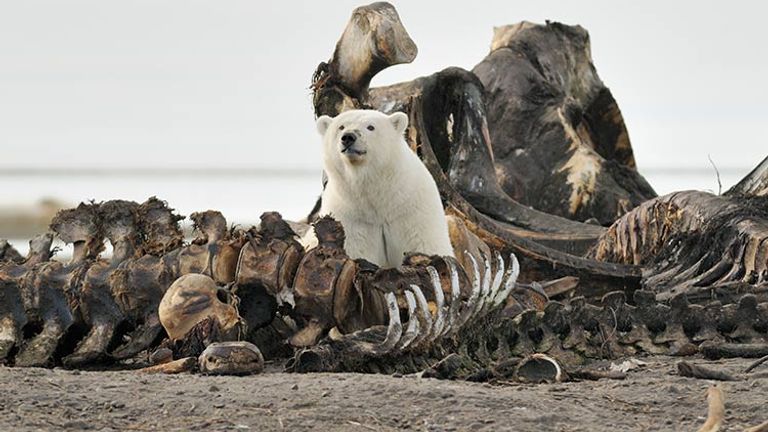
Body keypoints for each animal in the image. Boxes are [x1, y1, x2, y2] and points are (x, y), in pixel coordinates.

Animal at [303, 109, 455, 268]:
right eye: (341, 127)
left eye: (371, 127)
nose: (348, 137)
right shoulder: (351, 217)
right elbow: (357, 248)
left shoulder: (411, 208)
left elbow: (423, 242)